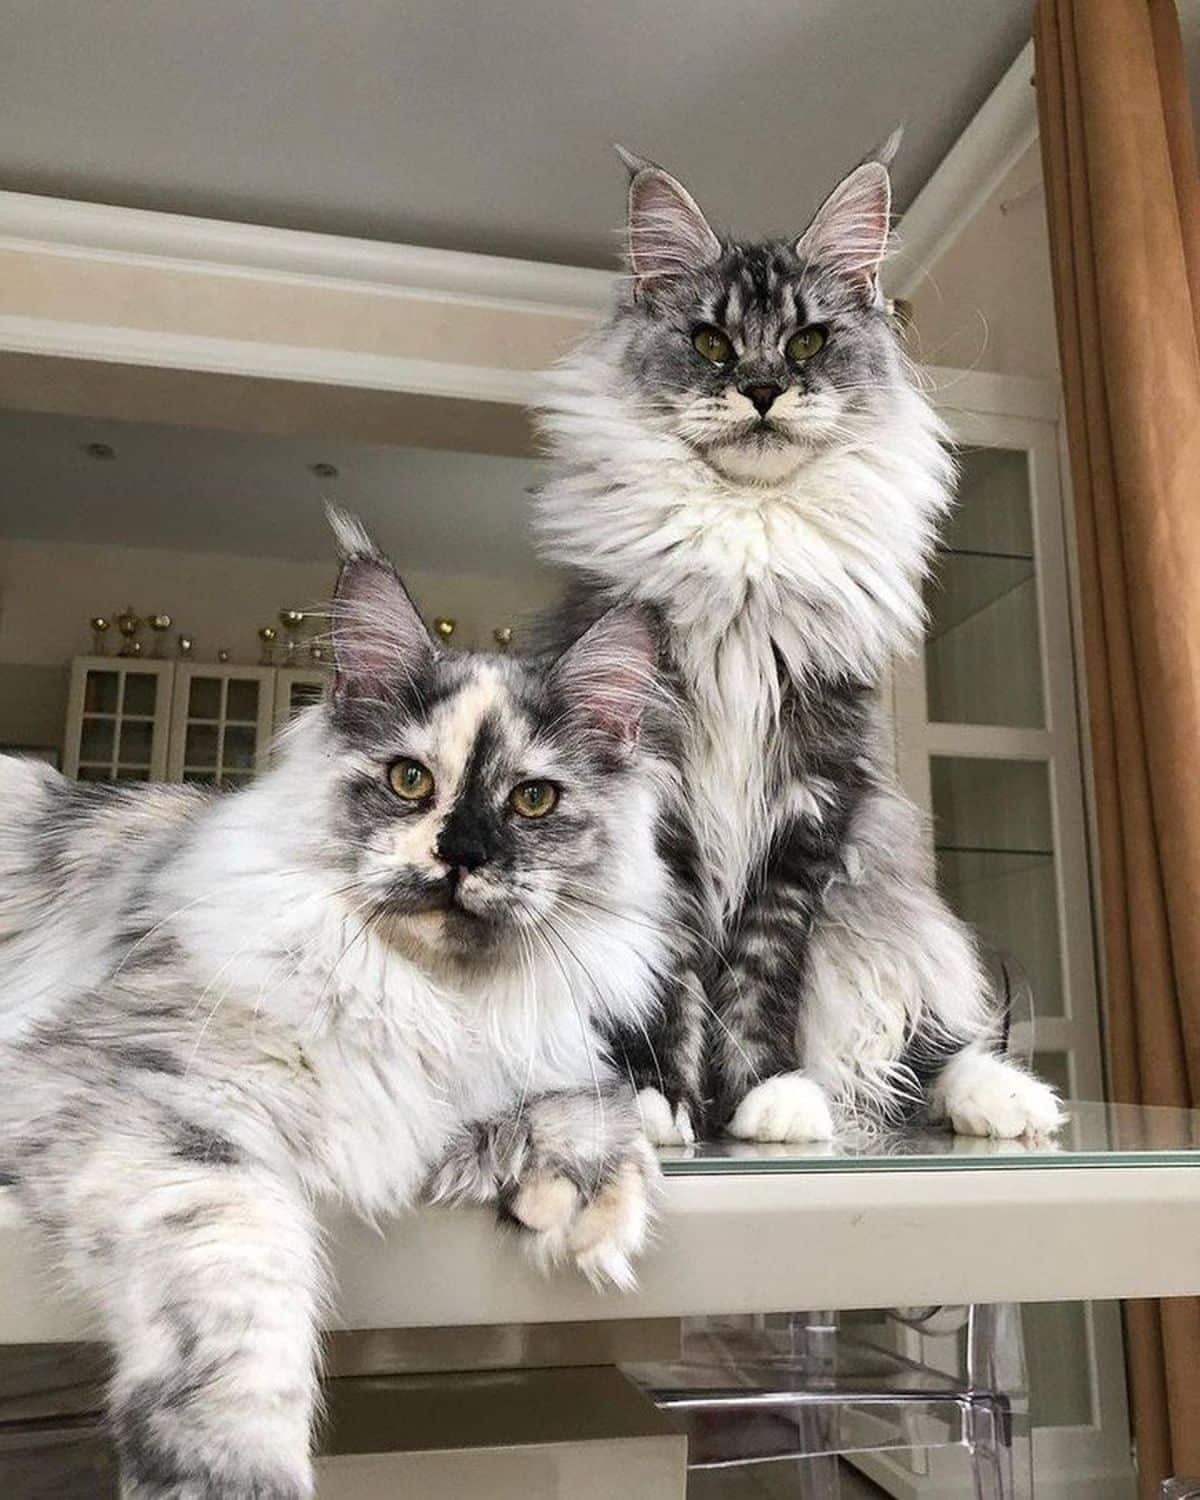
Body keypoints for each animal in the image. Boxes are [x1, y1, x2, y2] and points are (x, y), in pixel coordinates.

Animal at [0, 519, 666, 1500]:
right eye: (408, 781)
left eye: (532, 799)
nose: (463, 853)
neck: (432, 1000)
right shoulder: (129, 1093)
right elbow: (244, 1282)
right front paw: (230, 1470)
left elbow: (596, 1102)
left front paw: (583, 1191)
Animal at [534, 146, 1062, 1140]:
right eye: (711, 344)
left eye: (810, 342)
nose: (763, 389)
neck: (750, 544)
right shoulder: (656, 799)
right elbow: (669, 979)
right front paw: (661, 1102)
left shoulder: (814, 800)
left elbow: (758, 974)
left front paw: (764, 1097)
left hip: (885, 923)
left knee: (925, 1052)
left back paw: (1007, 1099)